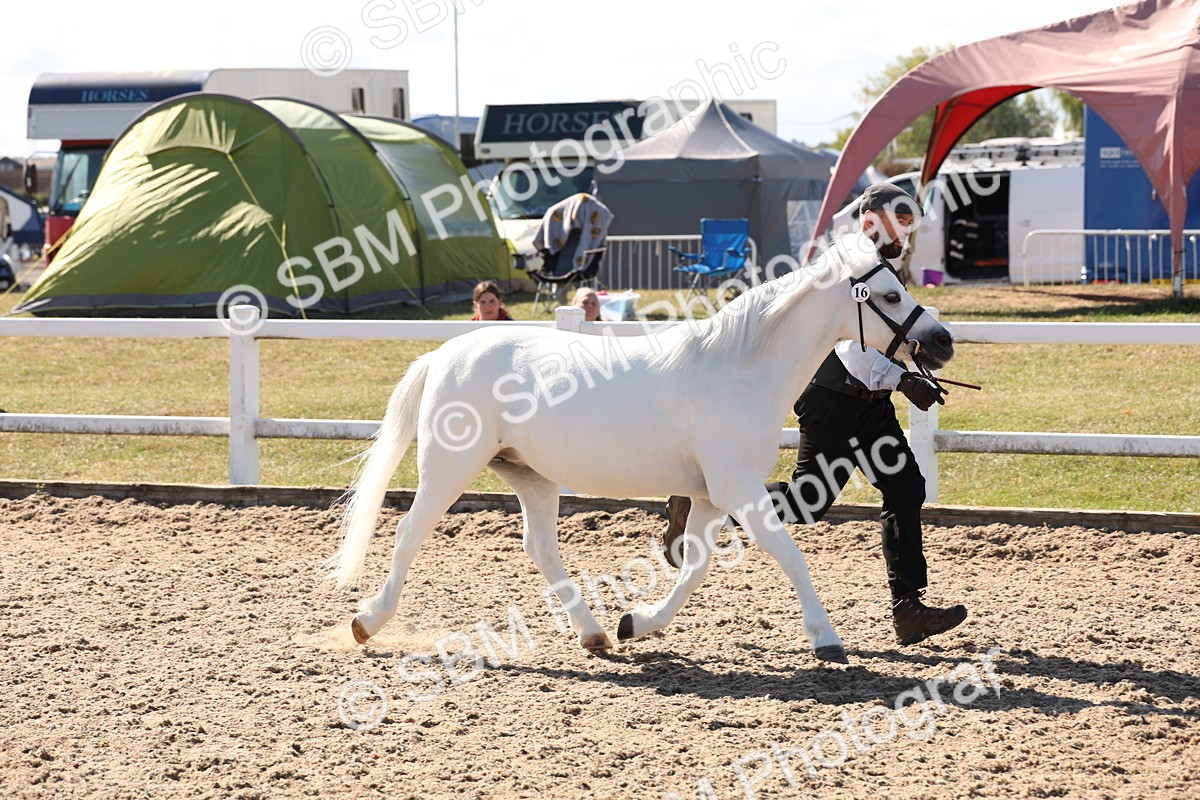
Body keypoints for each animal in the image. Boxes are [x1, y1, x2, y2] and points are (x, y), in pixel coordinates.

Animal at [325, 234, 955, 664]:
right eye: (890, 294)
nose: (942, 341)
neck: (738, 369)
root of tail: (443, 355)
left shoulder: (712, 496)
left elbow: (695, 567)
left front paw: (637, 623)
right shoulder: (739, 490)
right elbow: (789, 554)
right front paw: (826, 638)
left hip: (531, 476)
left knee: (539, 547)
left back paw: (596, 633)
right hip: (449, 468)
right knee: (409, 534)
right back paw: (366, 621)